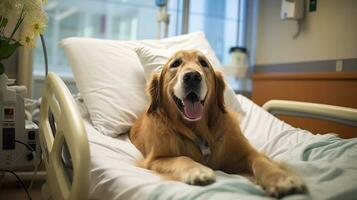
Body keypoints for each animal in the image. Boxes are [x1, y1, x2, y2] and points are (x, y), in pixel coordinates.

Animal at [130, 50, 306, 198]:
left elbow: (261, 161)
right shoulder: (154, 159)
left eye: (203, 63)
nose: (192, 76)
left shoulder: (246, 153)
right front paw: (197, 171)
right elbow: (181, 158)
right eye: (176, 63)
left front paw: (280, 179)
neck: (198, 130)